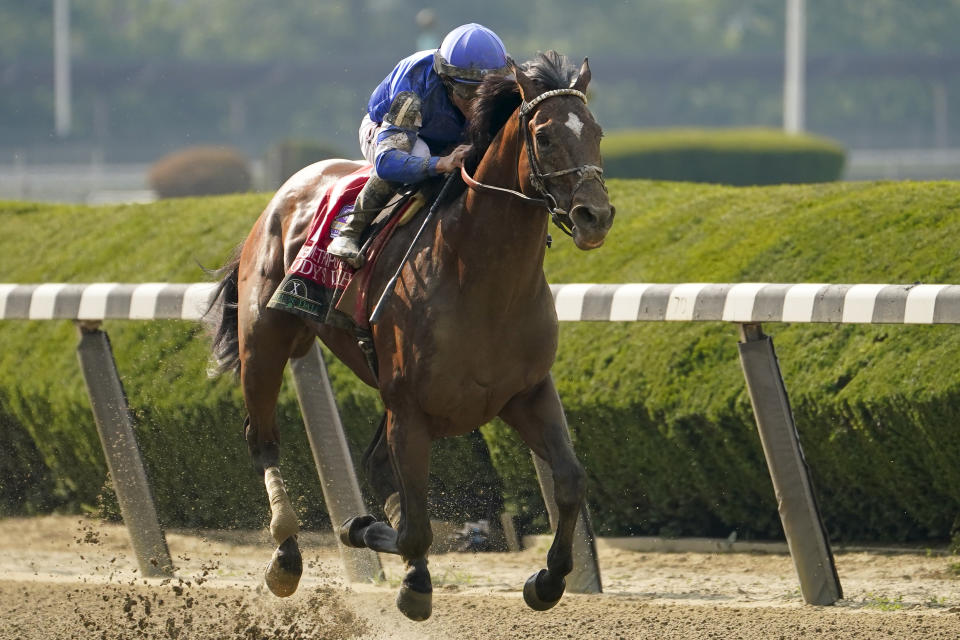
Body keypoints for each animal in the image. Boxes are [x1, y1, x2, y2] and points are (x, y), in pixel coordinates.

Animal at [205, 51, 616, 620]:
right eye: (546, 135)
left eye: (596, 131)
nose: (595, 216)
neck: (481, 280)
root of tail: (287, 188)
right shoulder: (411, 409)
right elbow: (417, 524)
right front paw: (412, 580)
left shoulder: (525, 393)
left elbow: (570, 480)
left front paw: (549, 578)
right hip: (263, 341)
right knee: (263, 440)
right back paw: (286, 555)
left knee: (376, 467)